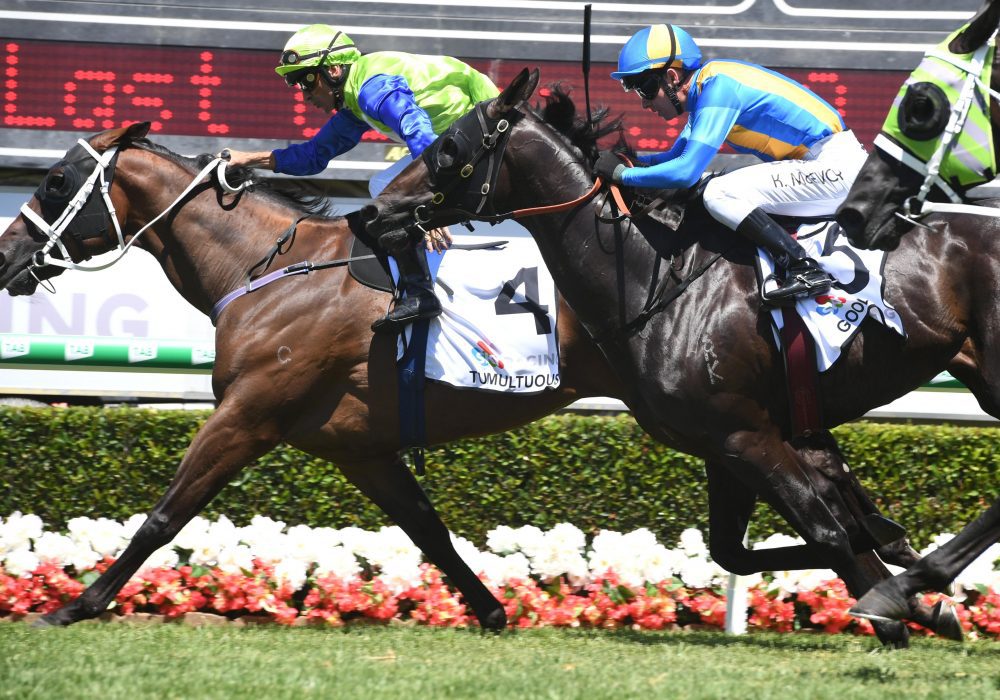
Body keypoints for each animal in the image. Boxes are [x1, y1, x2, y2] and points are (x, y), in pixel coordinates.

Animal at [0, 123, 915, 633]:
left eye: (56, 181)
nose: (7, 255)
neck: (268, 269)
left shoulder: (251, 413)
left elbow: (163, 515)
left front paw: (75, 604)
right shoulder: (358, 448)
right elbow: (430, 534)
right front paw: (492, 609)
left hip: (708, 412)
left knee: (811, 487)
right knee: (820, 479)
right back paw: (895, 560)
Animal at [360, 66, 1000, 645]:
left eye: (447, 147)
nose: (371, 213)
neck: (657, 280)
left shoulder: (749, 434)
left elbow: (827, 532)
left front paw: (896, 602)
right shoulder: (723, 446)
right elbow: (740, 551)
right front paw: (909, 583)